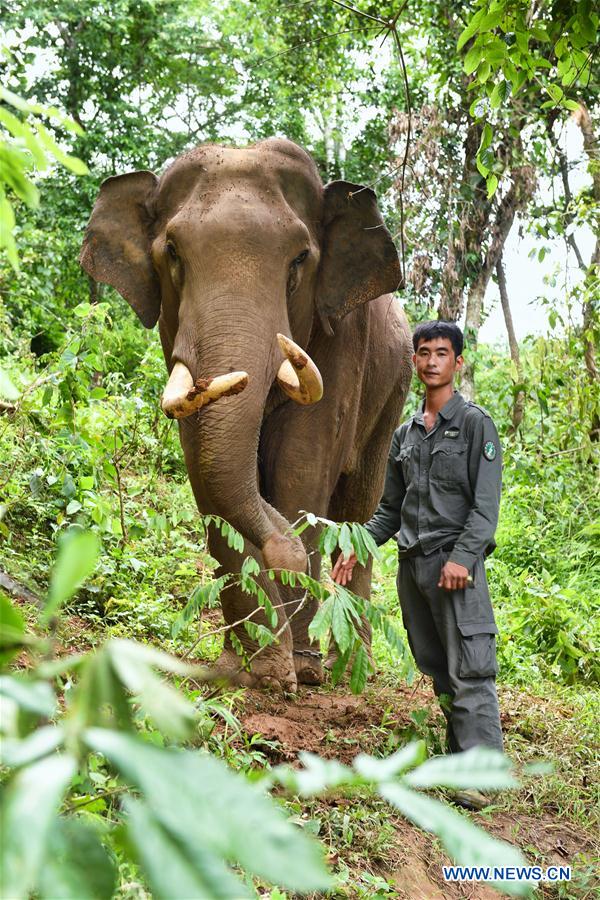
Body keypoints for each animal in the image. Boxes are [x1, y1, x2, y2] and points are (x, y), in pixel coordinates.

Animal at [80, 138, 413, 693]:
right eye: (172, 252)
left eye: (300, 258)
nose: (286, 551)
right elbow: (206, 470)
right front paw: (252, 672)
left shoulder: (343, 338)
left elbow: (300, 471)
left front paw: (297, 672)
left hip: (395, 391)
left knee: (357, 514)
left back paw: (345, 670)